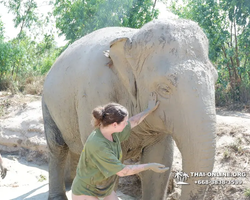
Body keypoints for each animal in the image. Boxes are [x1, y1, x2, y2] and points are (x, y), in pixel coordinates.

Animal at [42, 18, 218, 199]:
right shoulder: (95, 93)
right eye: (164, 89)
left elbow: (161, 158)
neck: (132, 38)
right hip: (47, 103)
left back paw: (70, 183)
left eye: (216, 78)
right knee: (57, 146)